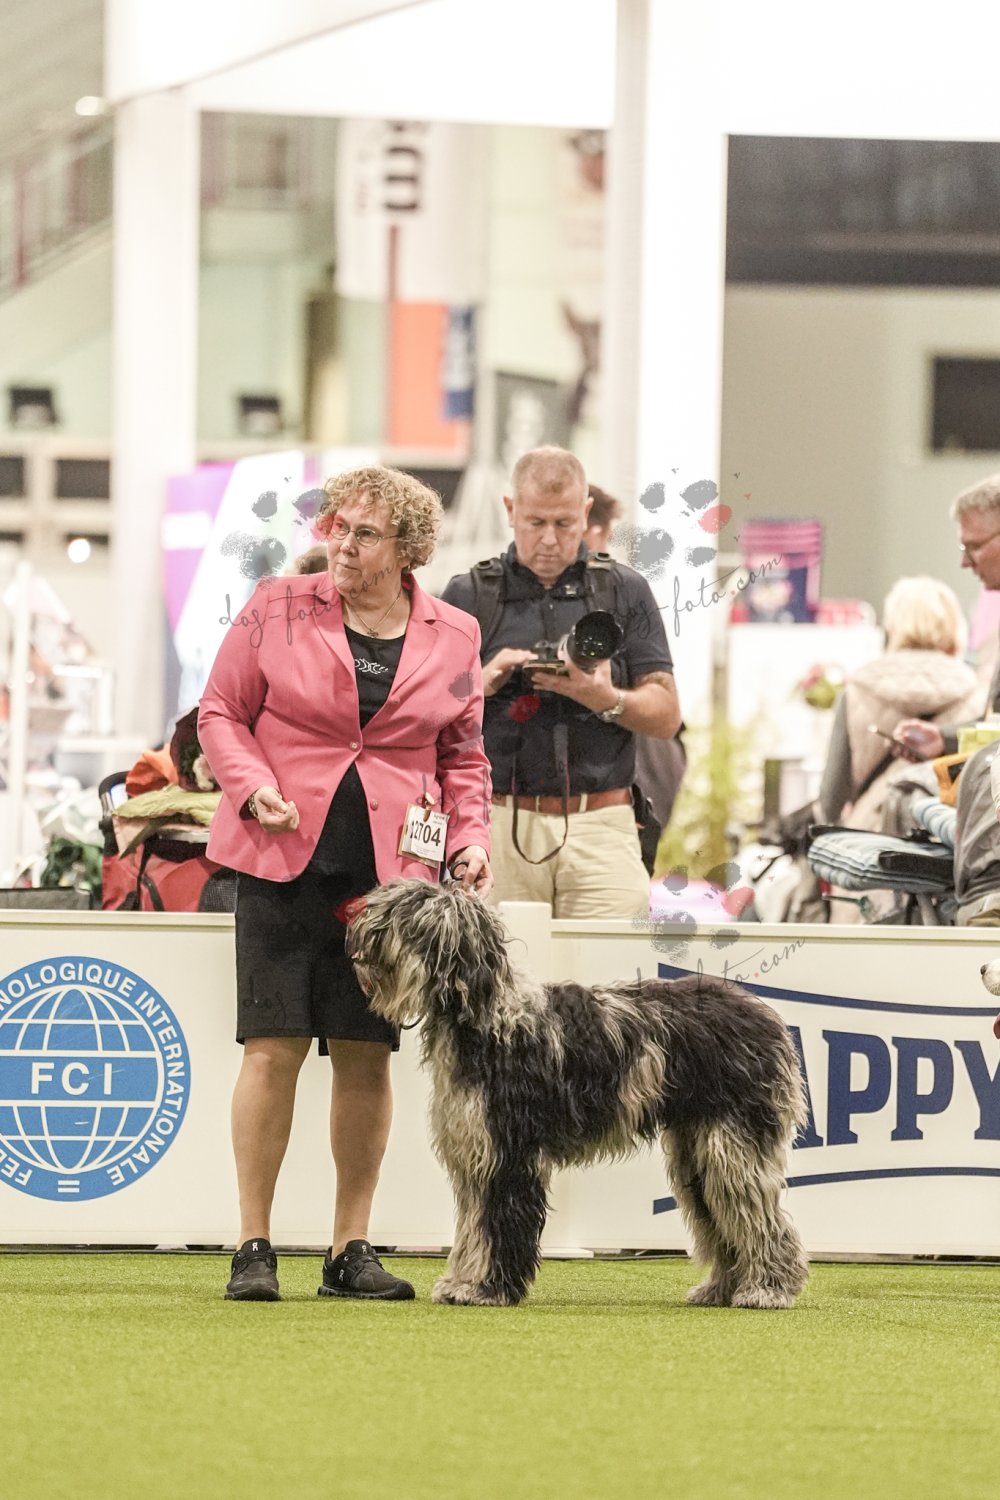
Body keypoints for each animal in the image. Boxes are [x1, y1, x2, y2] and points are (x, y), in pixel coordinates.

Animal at [348, 879, 809, 1309]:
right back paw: (722, 1289)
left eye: (412, 912)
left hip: (732, 1144)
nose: (360, 924)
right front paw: (462, 1282)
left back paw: (767, 1289)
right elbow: (474, 1229)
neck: (487, 1016)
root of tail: (769, 1019)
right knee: (723, 1221)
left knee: (761, 1219)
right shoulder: (477, 1152)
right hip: (696, 1152)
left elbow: (496, 1227)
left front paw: (486, 1288)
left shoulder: (508, 1154)